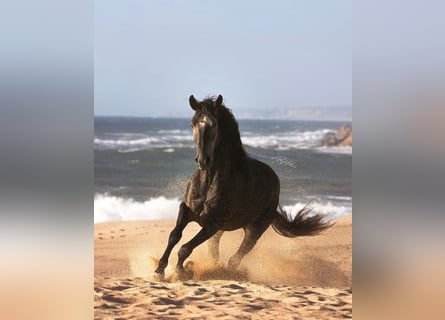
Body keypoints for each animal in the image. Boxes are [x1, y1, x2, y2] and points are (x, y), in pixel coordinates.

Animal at [154, 95, 332, 280]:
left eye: (214, 124)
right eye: (192, 124)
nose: (203, 161)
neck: (209, 183)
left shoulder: (213, 223)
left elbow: (185, 248)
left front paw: (182, 271)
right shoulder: (187, 210)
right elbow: (174, 236)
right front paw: (159, 271)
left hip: (254, 230)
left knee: (236, 257)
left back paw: (227, 273)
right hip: (224, 230)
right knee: (214, 250)